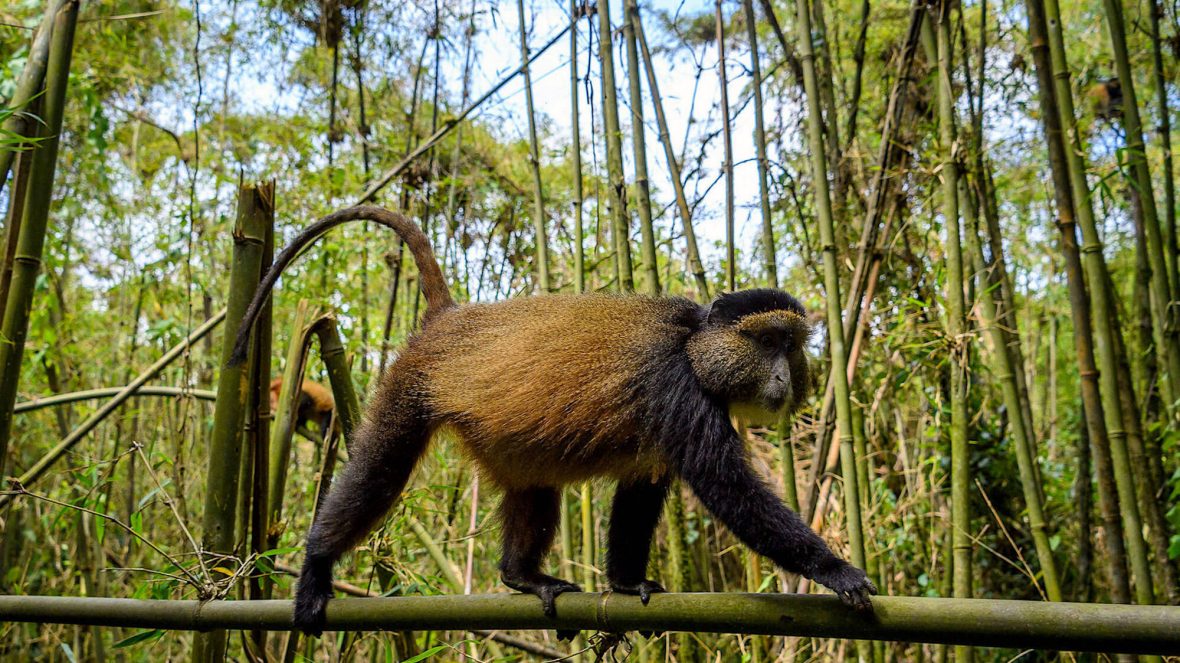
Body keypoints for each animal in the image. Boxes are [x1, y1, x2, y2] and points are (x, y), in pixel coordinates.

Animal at [228, 206, 877, 636]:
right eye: (767, 341)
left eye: (790, 347)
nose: (783, 378)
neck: (695, 347)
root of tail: (449, 320)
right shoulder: (677, 390)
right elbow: (730, 490)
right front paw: (836, 570)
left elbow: (641, 494)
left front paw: (625, 584)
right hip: (409, 390)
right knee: (377, 474)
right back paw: (316, 566)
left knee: (534, 488)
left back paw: (522, 577)